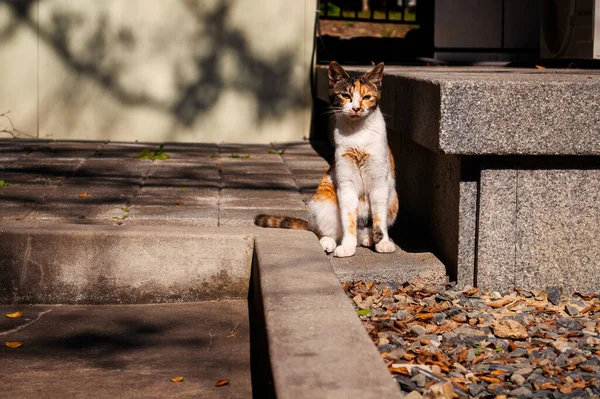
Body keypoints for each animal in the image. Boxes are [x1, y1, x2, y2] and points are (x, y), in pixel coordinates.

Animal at [255, 61, 396, 258]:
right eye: (346, 95)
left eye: (367, 97)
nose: (356, 108)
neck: (357, 133)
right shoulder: (345, 183)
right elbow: (348, 219)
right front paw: (347, 246)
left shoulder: (380, 183)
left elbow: (379, 218)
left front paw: (382, 242)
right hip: (324, 198)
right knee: (321, 230)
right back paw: (329, 242)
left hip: (393, 198)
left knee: (365, 228)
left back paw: (367, 239)